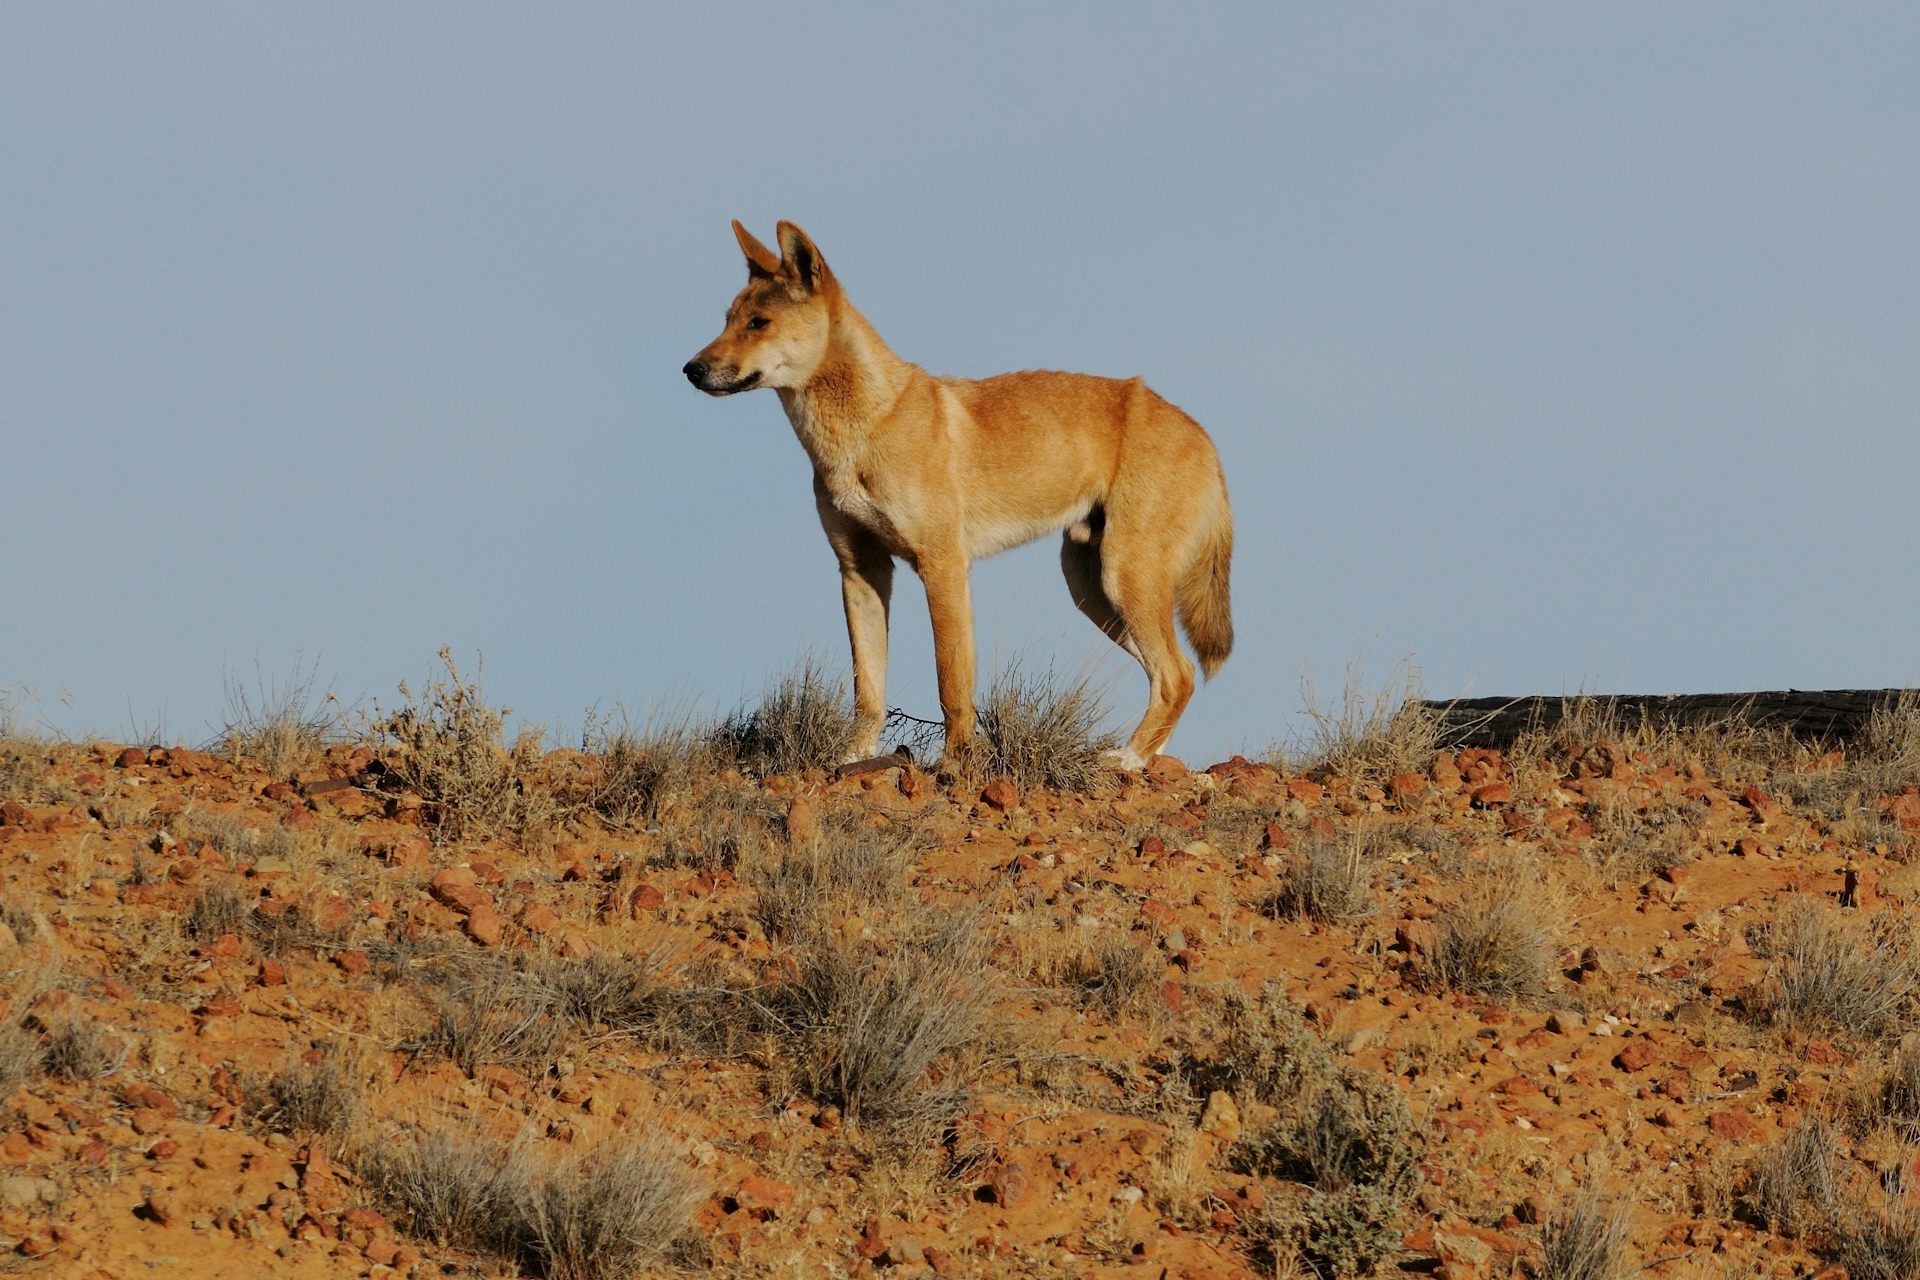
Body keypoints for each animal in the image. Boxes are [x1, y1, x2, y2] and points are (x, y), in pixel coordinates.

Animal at [683, 220, 1236, 771]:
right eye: (727, 321)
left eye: (759, 323)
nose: (691, 369)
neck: (865, 429)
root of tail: (1202, 434)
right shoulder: (860, 569)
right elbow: (868, 687)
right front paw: (855, 756)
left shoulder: (943, 565)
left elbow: (951, 683)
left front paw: (956, 763)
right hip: (1091, 588)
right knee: (1171, 675)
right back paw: (1143, 756)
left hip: (1123, 576)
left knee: (1177, 674)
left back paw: (1128, 759)